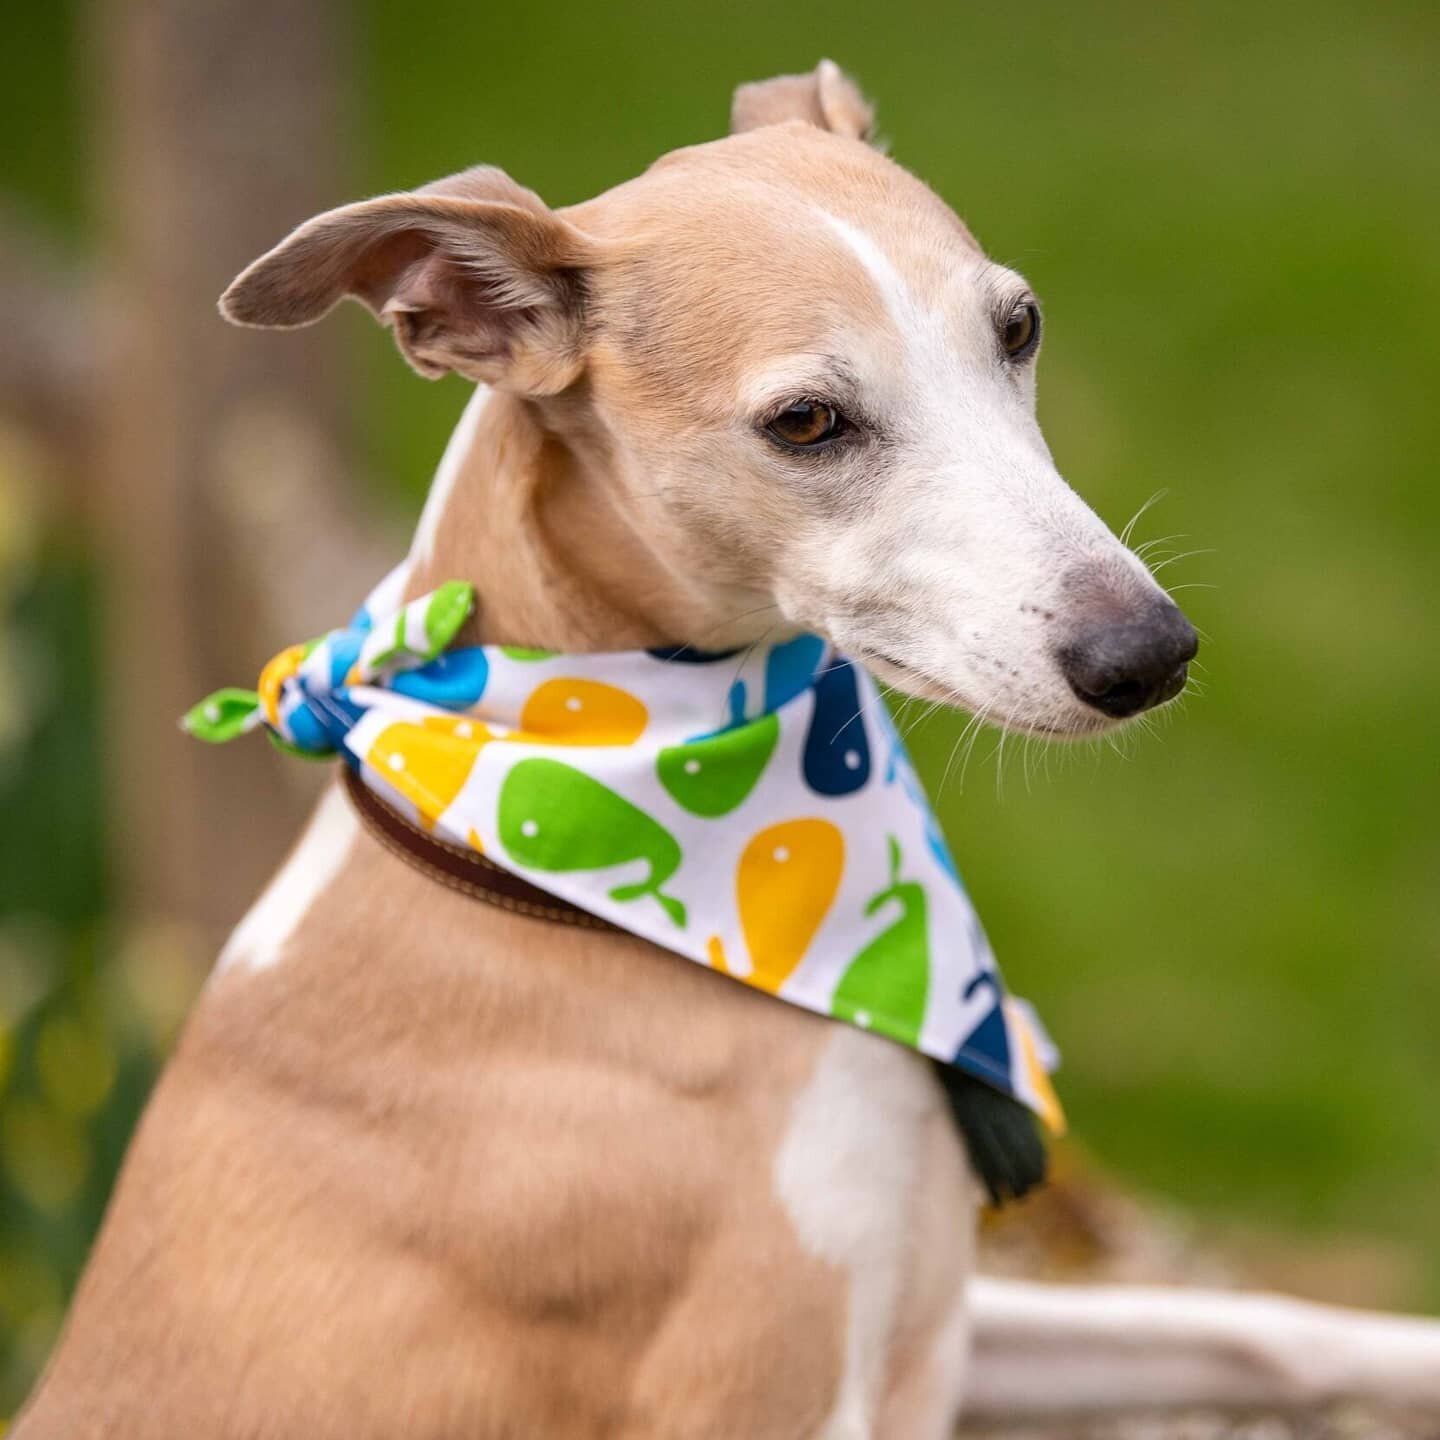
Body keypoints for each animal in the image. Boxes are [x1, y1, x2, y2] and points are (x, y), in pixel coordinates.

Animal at [19, 59, 1440, 1440]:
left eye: (1018, 327)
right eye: (807, 422)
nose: (1147, 654)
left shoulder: (937, 1312)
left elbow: (1263, 1327)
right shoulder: (781, 1386)